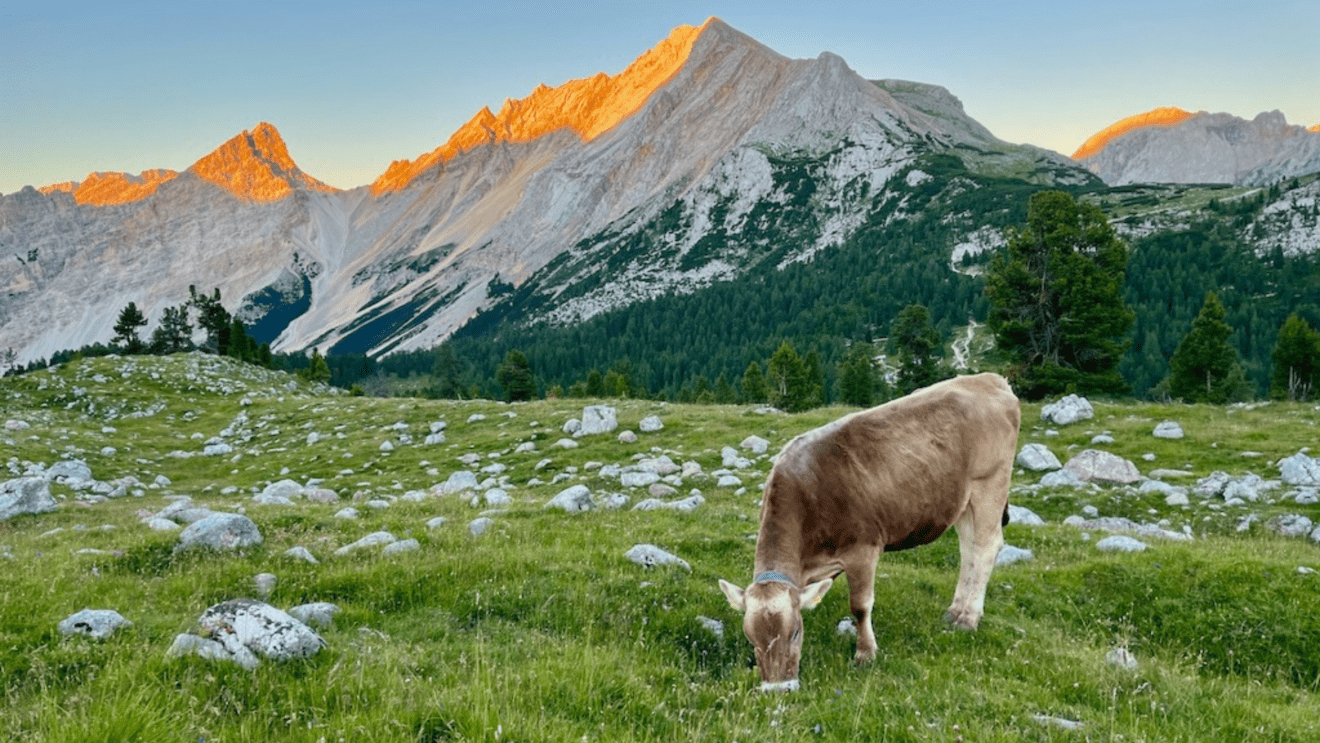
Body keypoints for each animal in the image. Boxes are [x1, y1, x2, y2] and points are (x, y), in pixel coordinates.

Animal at [723, 374, 1019, 696]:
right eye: (751, 637)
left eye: (796, 632)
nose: (779, 689)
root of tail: (988, 378)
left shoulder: (862, 549)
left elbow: (861, 607)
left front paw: (865, 654)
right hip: (962, 501)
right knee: (969, 550)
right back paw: (955, 610)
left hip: (989, 484)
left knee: (986, 547)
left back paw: (968, 618)